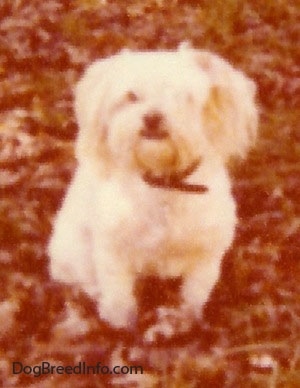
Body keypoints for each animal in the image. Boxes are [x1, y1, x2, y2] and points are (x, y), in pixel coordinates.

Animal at [47, 46, 258, 330]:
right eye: (131, 96)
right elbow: (118, 298)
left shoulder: (206, 254)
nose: (152, 117)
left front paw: (184, 321)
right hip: (74, 251)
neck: (164, 182)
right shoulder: (113, 251)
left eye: (182, 96)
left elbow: (193, 294)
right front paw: (120, 326)